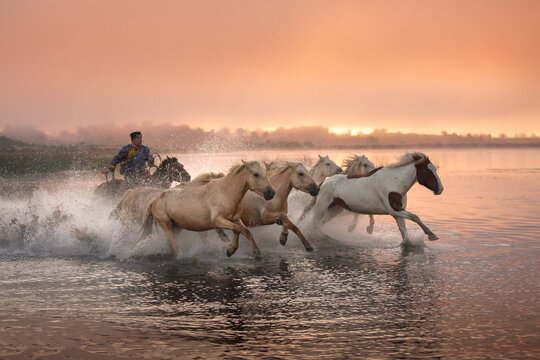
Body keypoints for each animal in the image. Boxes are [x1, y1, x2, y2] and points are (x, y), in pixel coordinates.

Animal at [140, 162, 274, 260]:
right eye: (256, 174)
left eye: (265, 174)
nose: (271, 193)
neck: (225, 193)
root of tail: (155, 200)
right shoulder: (217, 221)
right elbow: (237, 229)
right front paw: (230, 250)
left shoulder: (235, 219)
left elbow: (246, 231)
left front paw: (257, 254)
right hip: (166, 224)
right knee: (174, 247)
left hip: (176, 227)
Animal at [310, 152, 446, 248]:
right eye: (426, 170)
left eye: (435, 169)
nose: (440, 189)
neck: (394, 181)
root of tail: (323, 182)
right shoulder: (394, 210)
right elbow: (415, 216)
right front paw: (432, 235)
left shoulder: (398, 213)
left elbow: (404, 233)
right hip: (321, 208)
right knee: (314, 224)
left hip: (334, 209)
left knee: (320, 225)